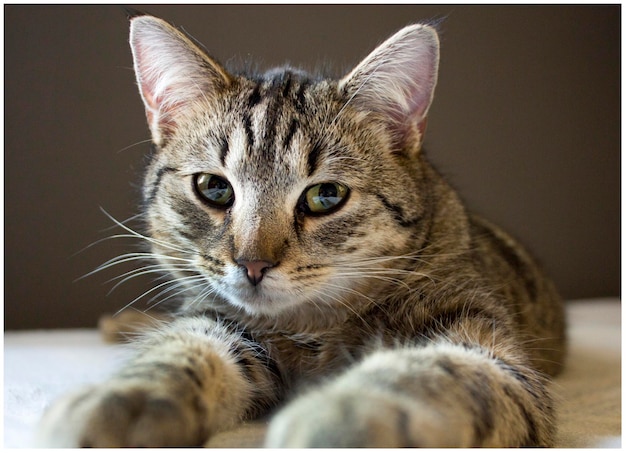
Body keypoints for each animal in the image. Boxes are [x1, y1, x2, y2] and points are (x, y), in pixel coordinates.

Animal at [37, 12, 564, 446]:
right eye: (214, 188)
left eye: (326, 196)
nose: (252, 264)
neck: (311, 327)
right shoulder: (216, 320)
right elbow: (180, 347)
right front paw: (126, 398)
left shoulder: (485, 343)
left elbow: (430, 372)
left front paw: (346, 414)